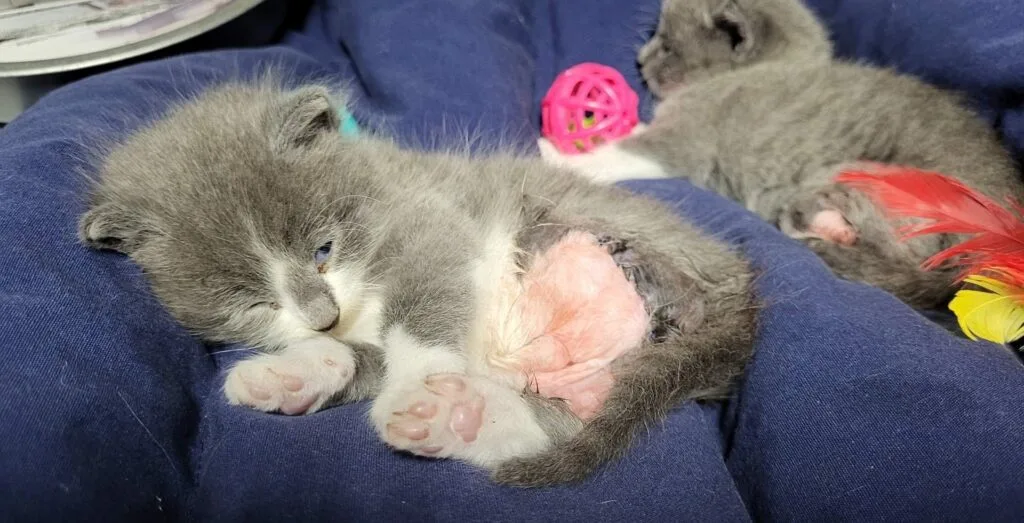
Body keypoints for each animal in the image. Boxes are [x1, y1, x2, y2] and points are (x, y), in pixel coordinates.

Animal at [79, 78, 757, 487]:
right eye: (252, 302)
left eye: (323, 250)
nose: (322, 315)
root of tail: (740, 287)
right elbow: (362, 354)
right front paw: (293, 371)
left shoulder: (433, 215)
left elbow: (425, 302)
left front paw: (415, 380)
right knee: (568, 417)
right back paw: (460, 417)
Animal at [544, 0, 1024, 311]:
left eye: (667, 46)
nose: (641, 59)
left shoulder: (687, 137)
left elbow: (627, 152)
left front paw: (553, 150)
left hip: (860, 177)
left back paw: (826, 227)